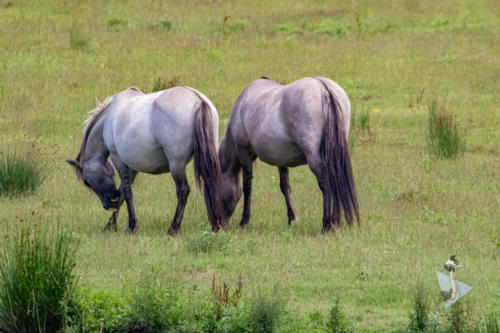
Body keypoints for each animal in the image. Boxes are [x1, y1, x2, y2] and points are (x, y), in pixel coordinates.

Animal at [66, 85, 225, 233]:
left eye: (87, 182)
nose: (108, 205)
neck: (108, 119)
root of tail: (198, 99)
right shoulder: (131, 167)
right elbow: (123, 191)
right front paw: (111, 225)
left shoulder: (119, 160)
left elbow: (127, 192)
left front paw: (131, 226)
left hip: (176, 165)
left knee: (183, 191)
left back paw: (173, 229)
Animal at [219, 75, 360, 232]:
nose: (221, 223)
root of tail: (324, 87)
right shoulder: (281, 160)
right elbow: (285, 187)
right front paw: (291, 219)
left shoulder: (244, 154)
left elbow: (247, 186)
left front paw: (244, 220)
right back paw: (335, 222)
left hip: (314, 158)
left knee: (326, 184)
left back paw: (327, 224)